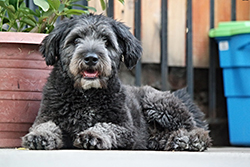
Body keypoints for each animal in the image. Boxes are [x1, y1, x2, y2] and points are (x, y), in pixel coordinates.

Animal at [22, 13, 212, 151]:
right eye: (75, 39)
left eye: (106, 41)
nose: (91, 58)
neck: (86, 95)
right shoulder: (46, 116)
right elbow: (45, 126)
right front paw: (39, 136)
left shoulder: (126, 129)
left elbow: (106, 126)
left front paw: (93, 136)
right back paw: (173, 140)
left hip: (158, 103)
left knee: (197, 130)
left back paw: (190, 140)